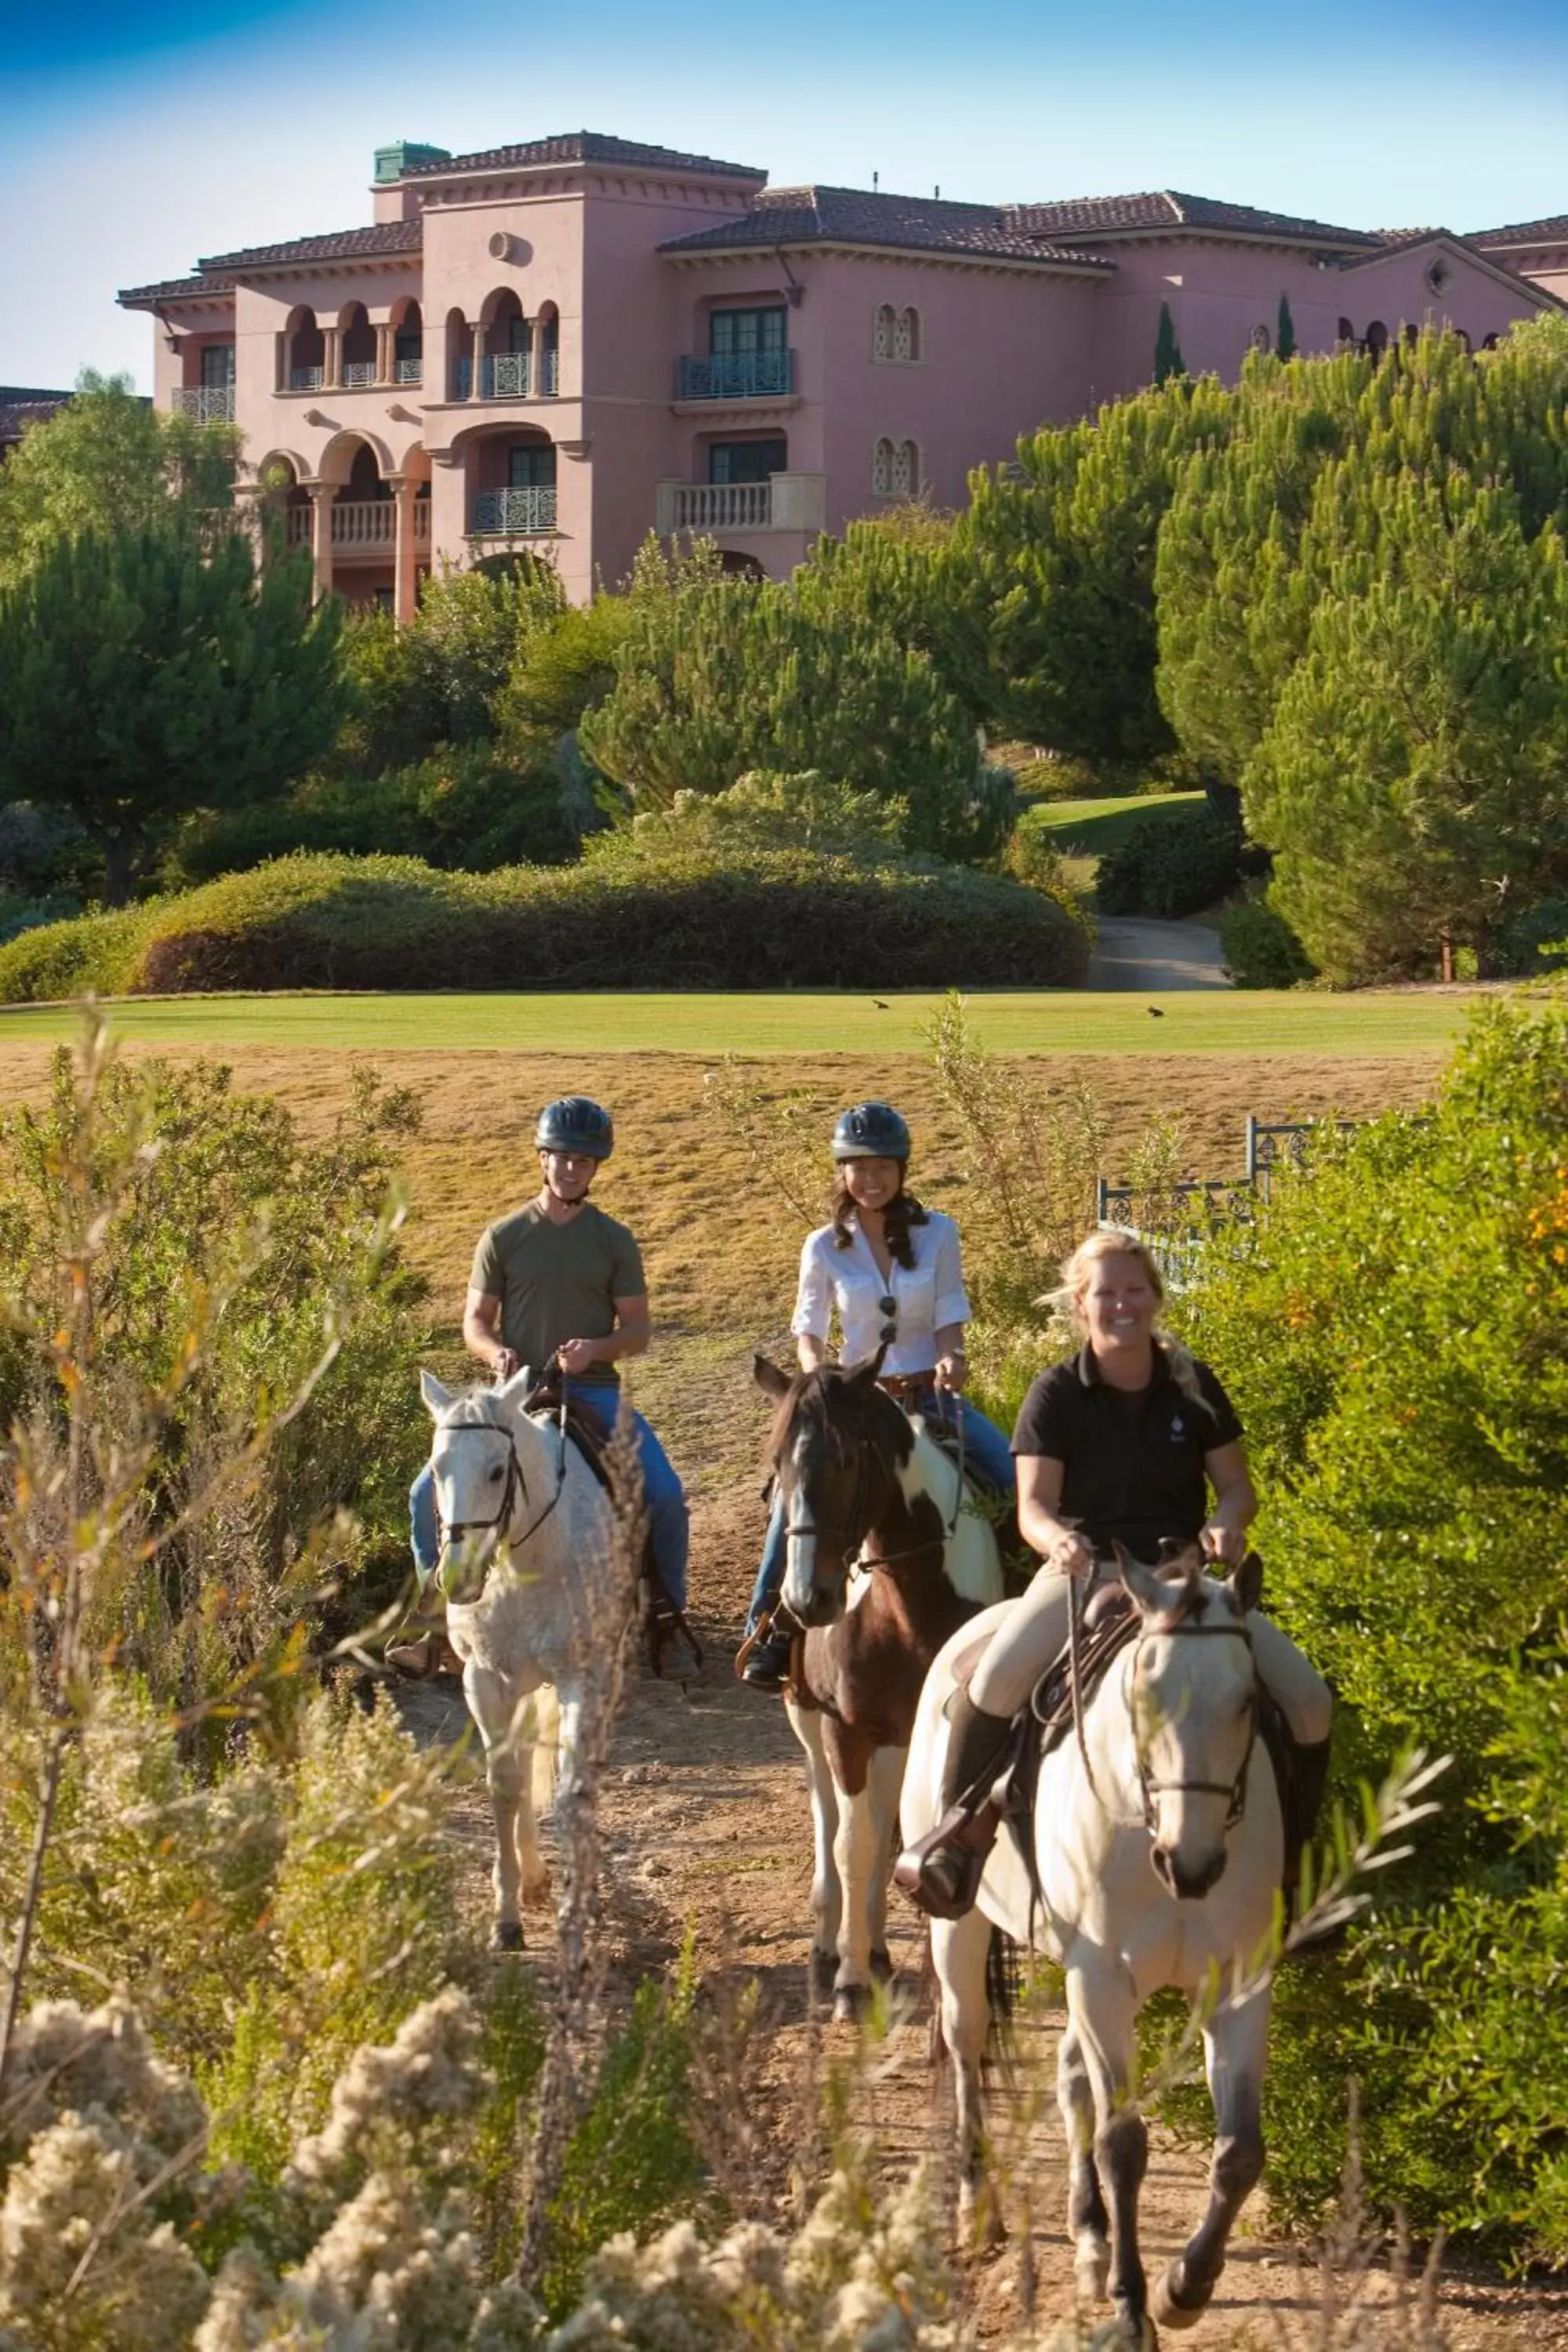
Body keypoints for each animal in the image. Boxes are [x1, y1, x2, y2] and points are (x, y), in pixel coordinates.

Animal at [420, 1364, 615, 1947]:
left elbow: (574, 1790)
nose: (458, 1578)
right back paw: (532, 1877)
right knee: (526, 1756)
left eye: (496, 1470)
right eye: (436, 1470)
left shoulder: (578, 1678)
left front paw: (579, 1908)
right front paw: (506, 1915)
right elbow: (505, 1787)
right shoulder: (485, 1680)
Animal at [752, 1364, 1001, 2023]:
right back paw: (828, 1950)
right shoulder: (845, 1730)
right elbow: (852, 1846)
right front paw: (850, 1981)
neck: (907, 1601)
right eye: (778, 1462)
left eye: (844, 1458)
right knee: (830, 1817)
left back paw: (879, 1949)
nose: (809, 1600)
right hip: (812, 1724)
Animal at [902, 1552, 1279, 2343]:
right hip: (962, 1929)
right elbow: (1122, 2144)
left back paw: (1090, 2236)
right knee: (965, 2042)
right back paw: (978, 2210)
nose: (1192, 1865)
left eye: (1246, 1701)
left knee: (1071, 2074)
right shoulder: (1104, 1976)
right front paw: (1135, 2309)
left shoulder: (1238, 1982)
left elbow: (1239, 2153)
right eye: (1144, 1697)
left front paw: (1184, 2287)